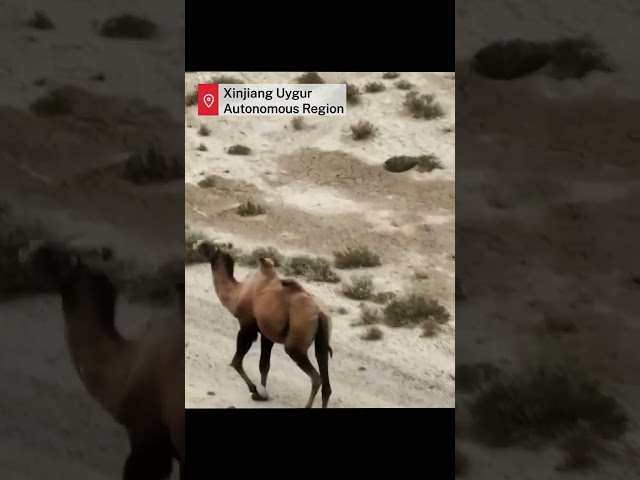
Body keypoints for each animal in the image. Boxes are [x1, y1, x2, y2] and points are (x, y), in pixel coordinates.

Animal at [193, 240, 333, 408]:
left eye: (207, 246)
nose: (195, 243)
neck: (237, 294)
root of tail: (319, 314)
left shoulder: (247, 327)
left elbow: (236, 362)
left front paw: (255, 390)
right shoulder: (267, 334)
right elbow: (264, 364)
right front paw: (262, 394)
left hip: (296, 340)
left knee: (316, 377)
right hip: (321, 340)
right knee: (325, 377)